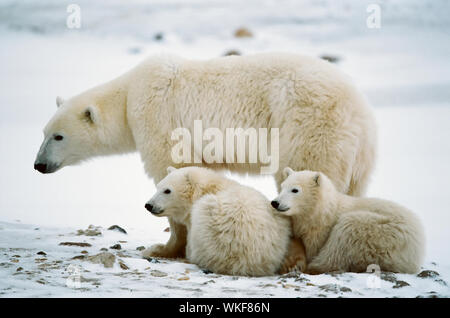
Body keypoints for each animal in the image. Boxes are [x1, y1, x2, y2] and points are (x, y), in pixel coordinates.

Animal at [34, 52, 376, 258]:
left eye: (58, 136)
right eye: (44, 132)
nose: (38, 164)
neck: (129, 96)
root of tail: (358, 109)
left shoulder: (158, 118)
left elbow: (172, 169)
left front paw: (163, 248)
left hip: (308, 126)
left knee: (306, 175)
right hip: (359, 155)